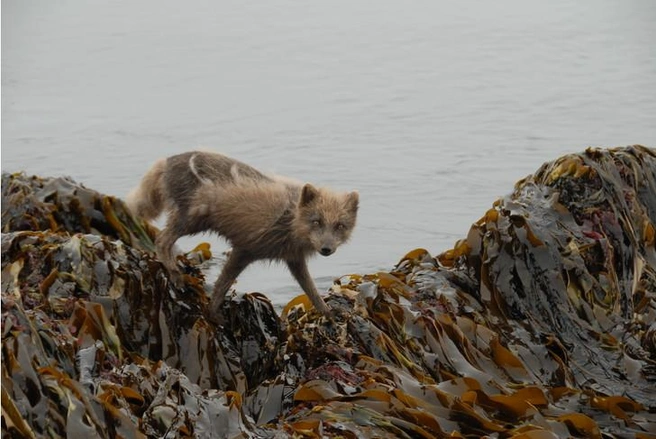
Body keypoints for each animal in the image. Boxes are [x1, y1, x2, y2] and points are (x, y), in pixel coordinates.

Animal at [127, 153, 358, 322]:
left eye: (340, 226)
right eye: (316, 221)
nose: (326, 249)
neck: (288, 220)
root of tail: (165, 161)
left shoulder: (294, 260)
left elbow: (311, 291)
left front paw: (329, 313)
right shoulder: (244, 249)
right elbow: (222, 284)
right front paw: (212, 315)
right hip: (193, 217)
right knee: (161, 240)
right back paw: (175, 275)